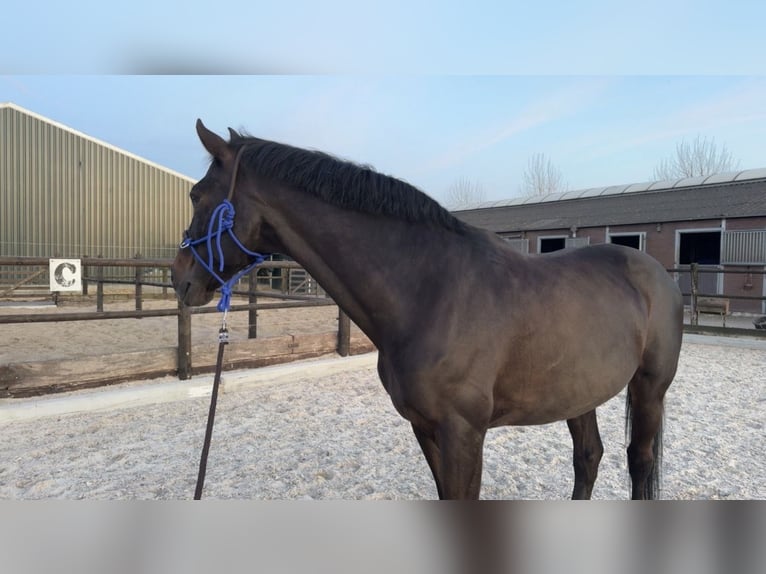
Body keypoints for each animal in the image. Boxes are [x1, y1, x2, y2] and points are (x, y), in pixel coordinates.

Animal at [171, 120, 684, 500]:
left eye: (197, 195)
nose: (181, 279)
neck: (430, 293)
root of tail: (655, 272)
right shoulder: (424, 428)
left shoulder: (464, 433)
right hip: (579, 391)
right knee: (588, 458)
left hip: (649, 388)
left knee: (638, 464)